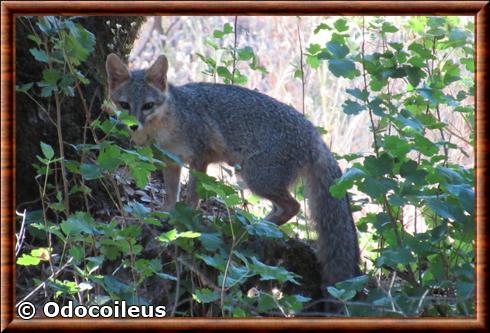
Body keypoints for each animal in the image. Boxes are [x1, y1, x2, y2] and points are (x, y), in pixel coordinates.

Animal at [106, 53, 360, 286]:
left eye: (148, 105)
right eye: (124, 105)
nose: (133, 125)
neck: (169, 122)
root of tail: (314, 134)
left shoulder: (200, 158)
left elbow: (193, 195)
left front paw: (187, 220)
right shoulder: (171, 162)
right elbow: (171, 194)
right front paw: (167, 214)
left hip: (255, 178)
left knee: (293, 206)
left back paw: (252, 229)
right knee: (285, 208)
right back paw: (256, 227)